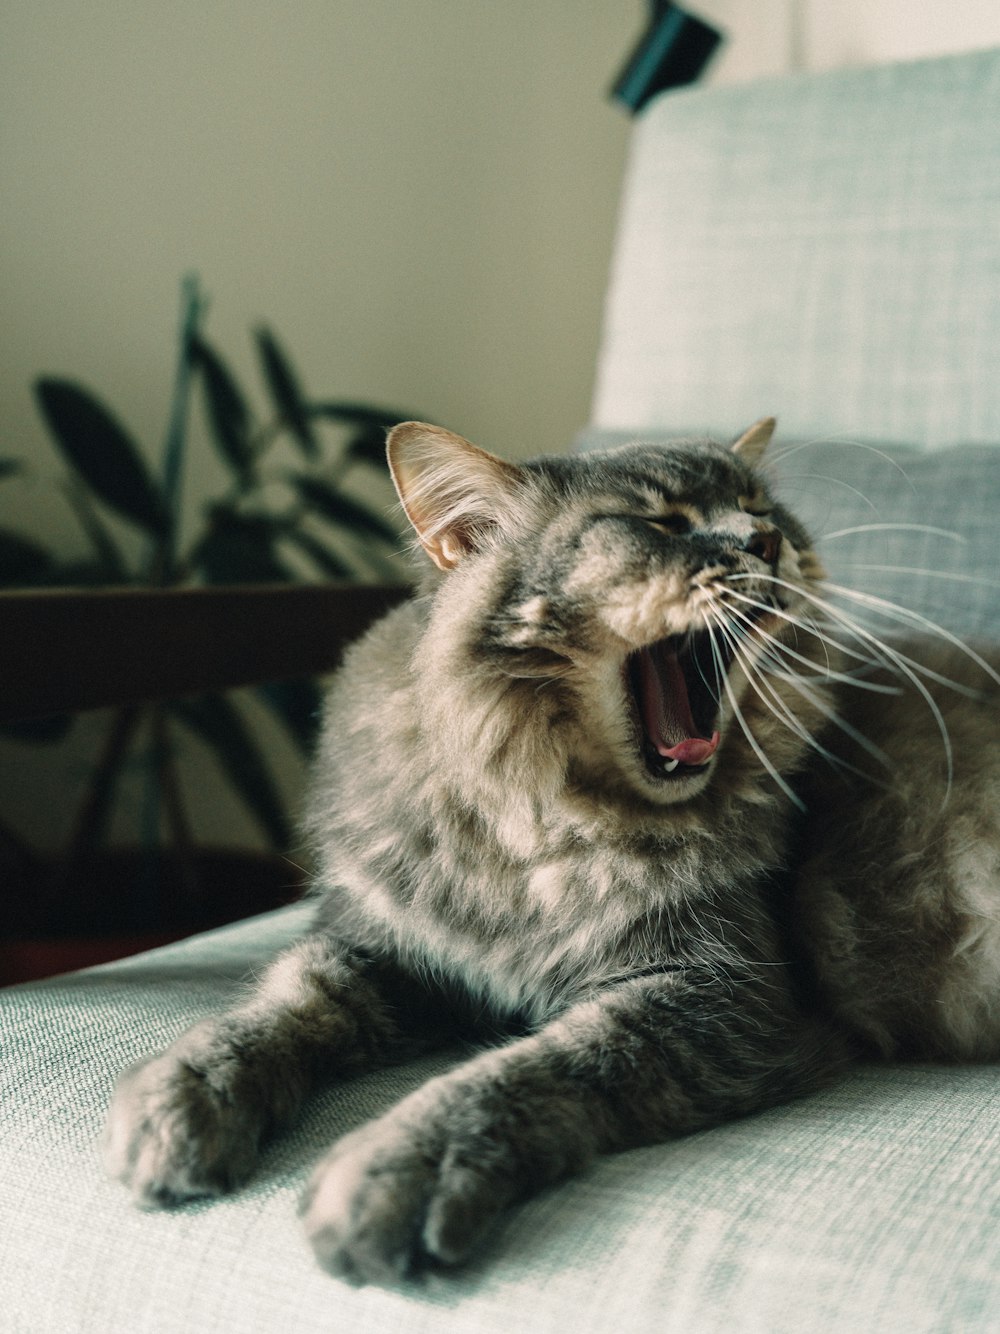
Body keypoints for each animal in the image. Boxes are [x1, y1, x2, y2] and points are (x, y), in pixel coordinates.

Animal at [104, 421, 1000, 1285]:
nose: (767, 540)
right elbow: (275, 1010)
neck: (542, 829)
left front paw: (394, 1173)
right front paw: (179, 1103)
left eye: (760, 508)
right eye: (661, 523)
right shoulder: (387, 949)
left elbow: (521, 1074)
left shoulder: (717, 996)